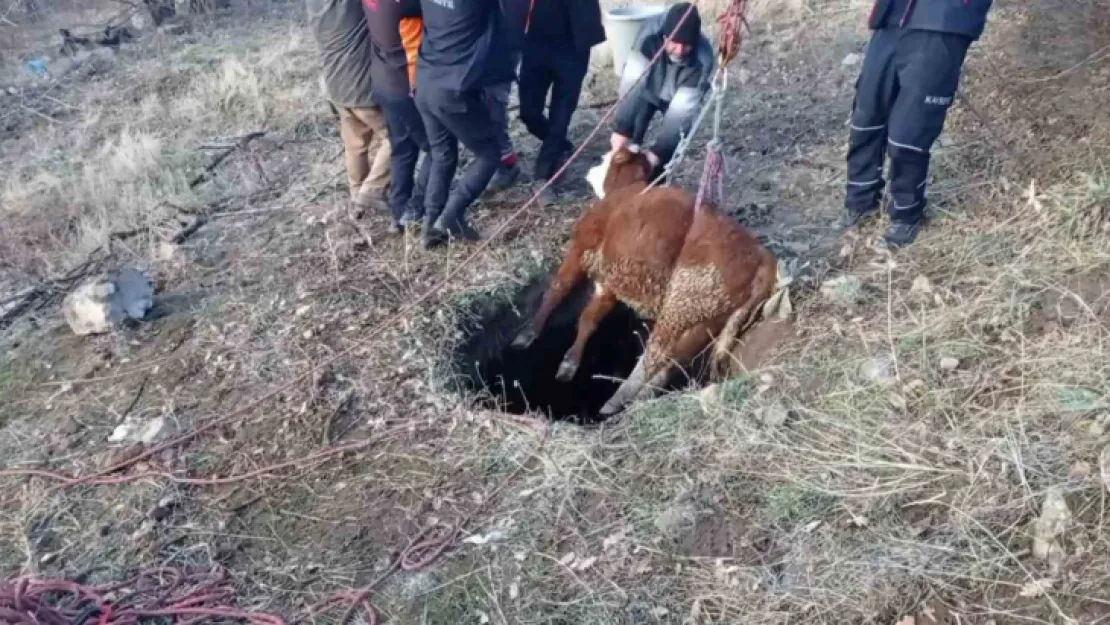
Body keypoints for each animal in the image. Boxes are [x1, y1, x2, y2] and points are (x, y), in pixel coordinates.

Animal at [515, 146, 777, 415]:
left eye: (607, 157)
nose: (591, 168)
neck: (626, 191)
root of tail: (762, 257)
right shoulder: (610, 281)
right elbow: (589, 318)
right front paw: (569, 362)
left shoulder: (581, 248)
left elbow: (557, 289)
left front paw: (528, 333)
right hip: (709, 319)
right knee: (676, 359)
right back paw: (643, 397)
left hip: (682, 304)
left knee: (655, 354)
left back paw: (616, 401)